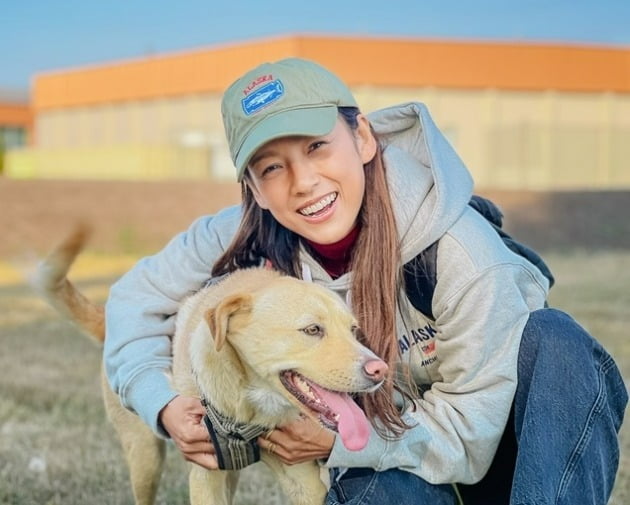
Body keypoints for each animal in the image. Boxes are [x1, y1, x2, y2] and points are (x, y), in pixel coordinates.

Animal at [35, 226, 390, 502]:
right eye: (313, 330)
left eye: (354, 330)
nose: (380, 371)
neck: (252, 407)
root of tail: (110, 322)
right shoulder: (205, 472)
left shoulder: (303, 481)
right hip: (145, 458)